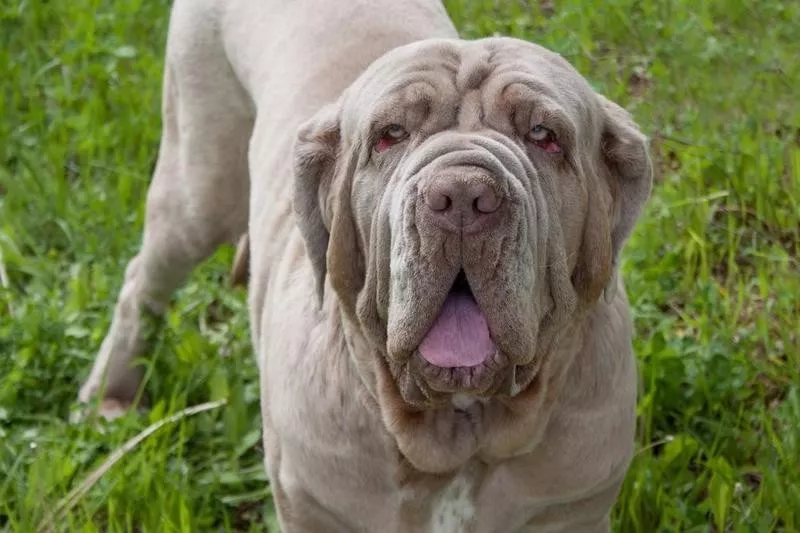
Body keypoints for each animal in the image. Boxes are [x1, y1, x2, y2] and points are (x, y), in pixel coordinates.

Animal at [76, 1, 648, 528]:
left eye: (544, 136)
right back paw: (107, 396)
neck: (459, 434)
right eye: (390, 134)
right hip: (199, 186)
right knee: (142, 281)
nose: (463, 197)